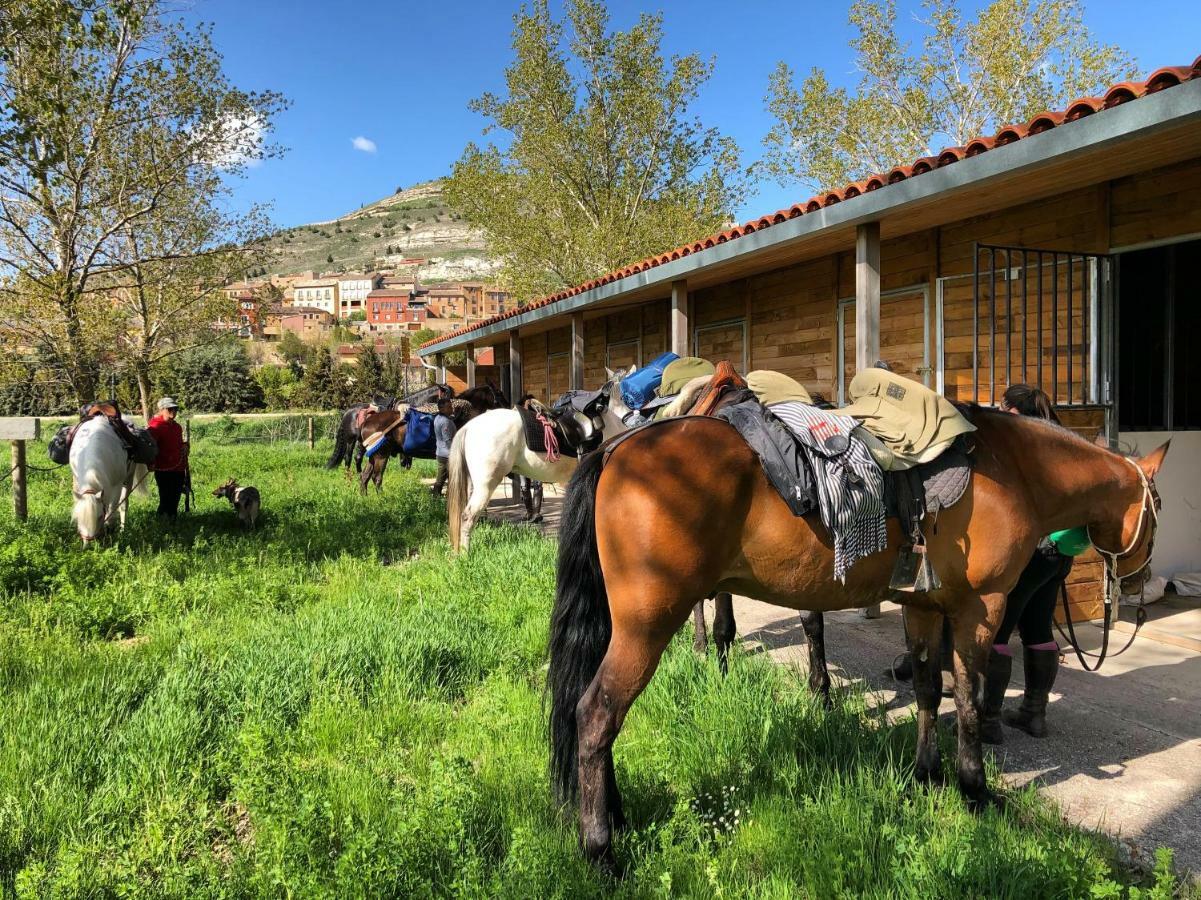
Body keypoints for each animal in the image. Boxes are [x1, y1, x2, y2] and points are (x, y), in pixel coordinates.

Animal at [550, 410, 1167, 865]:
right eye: (1158, 508)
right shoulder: (979, 610)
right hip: (648, 625)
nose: (1140, 581)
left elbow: (927, 690)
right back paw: (601, 849)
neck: (1013, 466)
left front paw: (925, 775)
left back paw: (615, 817)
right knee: (597, 715)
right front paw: (973, 790)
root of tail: (617, 449)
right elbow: (969, 701)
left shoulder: (923, 607)